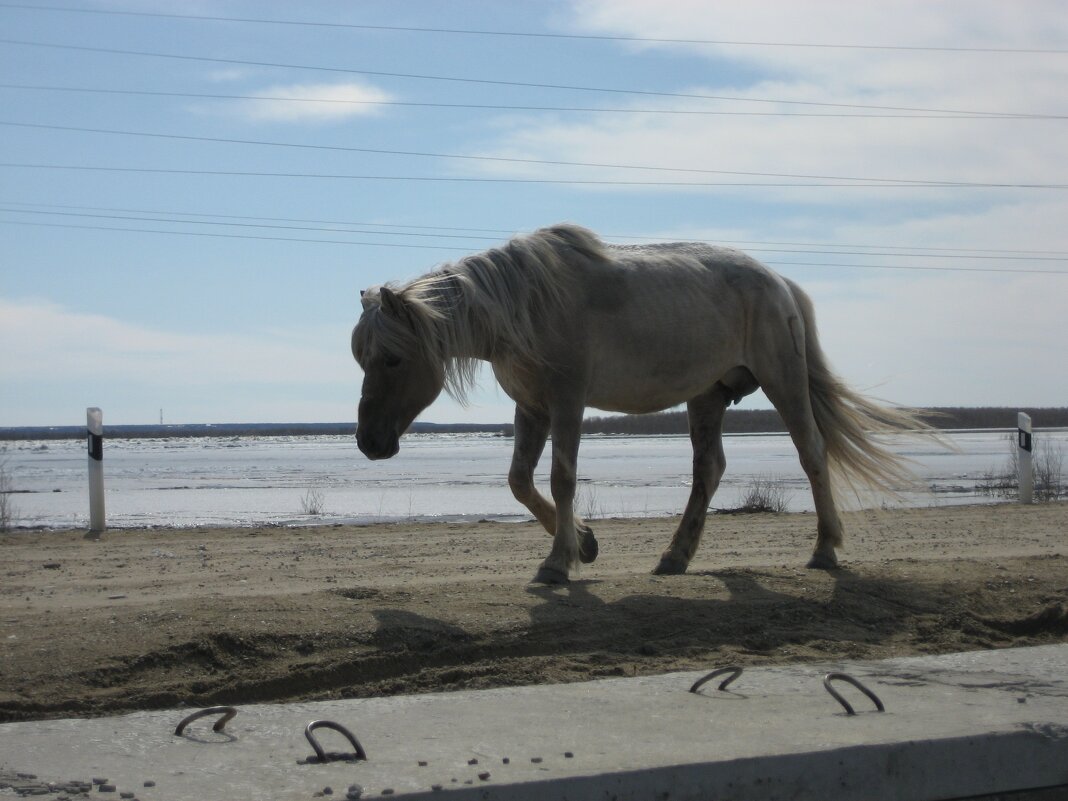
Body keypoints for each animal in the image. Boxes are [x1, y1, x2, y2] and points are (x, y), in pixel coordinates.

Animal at [354, 223, 931, 585]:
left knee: (811, 452)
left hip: (782, 379)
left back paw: (824, 549)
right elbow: (519, 482)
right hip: (708, 396)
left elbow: (562, 479)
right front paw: (584, 543)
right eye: (362, 357)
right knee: (708, 470)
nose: (368, 443)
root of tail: (779, 282)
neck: (528, 306)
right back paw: (675, 556)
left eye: (392, 359)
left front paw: (558, 563)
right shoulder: (532, 407)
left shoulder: (567, 402)